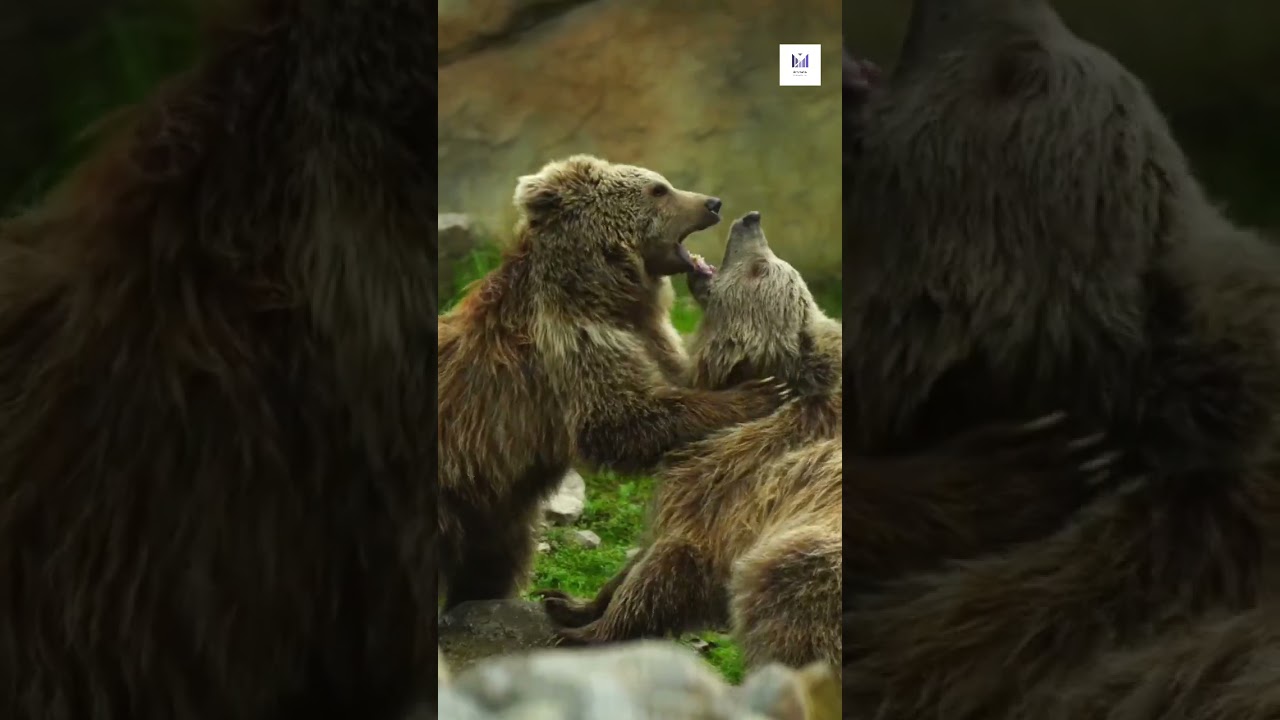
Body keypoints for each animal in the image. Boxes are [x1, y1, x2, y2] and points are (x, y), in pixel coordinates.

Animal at [436, 155, 789, 611]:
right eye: (659, 189)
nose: (712, 203)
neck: (608, 296)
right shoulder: (572, 345)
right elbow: (620, 417)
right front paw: (757, 393)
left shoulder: (651, 338)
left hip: (492, 508)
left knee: (493, 560)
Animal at [538, 211, 1117, 668]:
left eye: (764, 269)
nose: (749, 218)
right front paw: (568, 601)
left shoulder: (739, 480)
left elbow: (675, 562)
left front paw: (587, 632)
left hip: (811, 565)